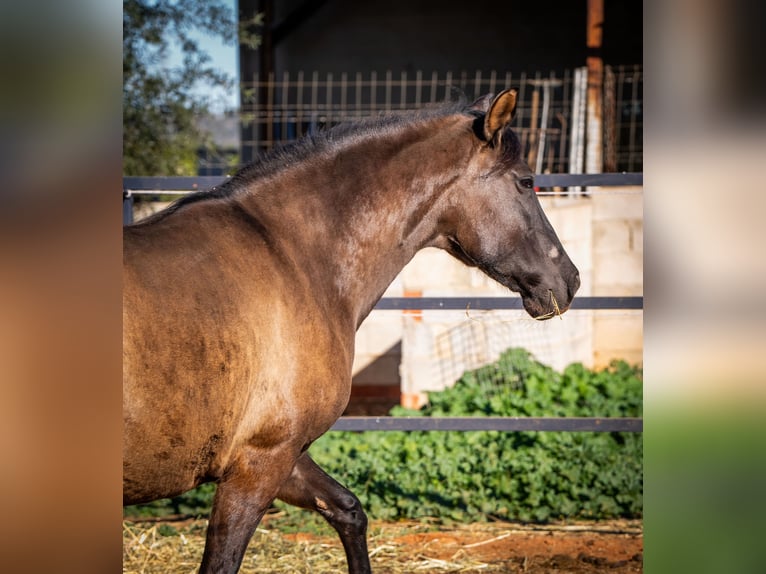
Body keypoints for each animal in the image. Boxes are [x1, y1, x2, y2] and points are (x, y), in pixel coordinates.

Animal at [123, 89, 580, 573]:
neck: (293, 260)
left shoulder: (284, 455)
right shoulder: (259, 462)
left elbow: (349, 510)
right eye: (526, 181)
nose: (569, 279)